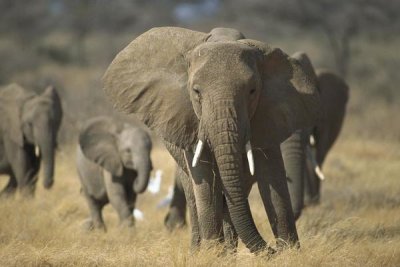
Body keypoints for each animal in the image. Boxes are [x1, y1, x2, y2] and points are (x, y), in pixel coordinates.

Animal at [103, 27, 322, 255]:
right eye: (196, 92)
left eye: (252, 91)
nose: (272, 249)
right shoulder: (190, 120)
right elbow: (204, 176)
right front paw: (211, 254)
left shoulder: (269, 114)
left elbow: (273, 176)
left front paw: (290, 252)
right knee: (194, 194)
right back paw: (201, 250)